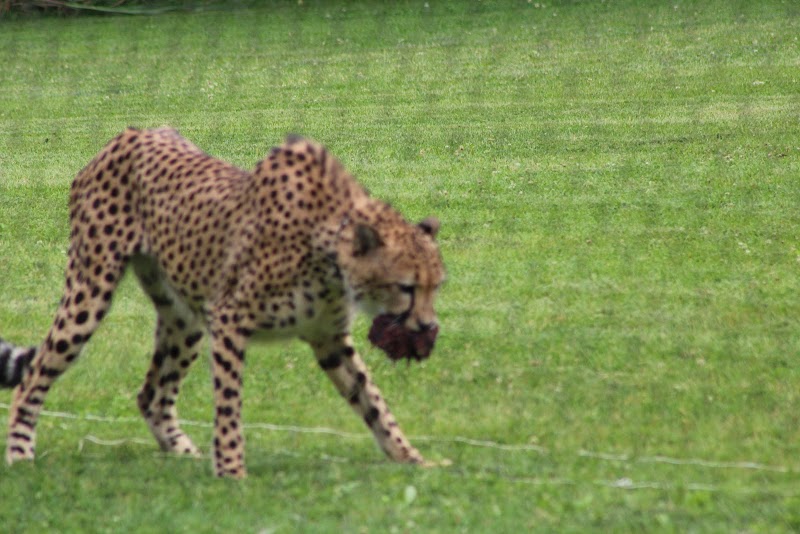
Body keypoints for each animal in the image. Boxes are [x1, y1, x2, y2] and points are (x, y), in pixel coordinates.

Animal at [0, 128, 444, 478]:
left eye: (436, 286)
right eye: (406, 287)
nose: (426, 327)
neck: (331, 252)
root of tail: (127, 134)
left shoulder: (329, 339)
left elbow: (373, 401)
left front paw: (413, 458)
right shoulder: (230, 320)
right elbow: (229, 405)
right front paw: (232, 471)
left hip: (185, 318)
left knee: (151, 395)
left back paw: (185, 453)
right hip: (91, 291)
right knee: (32, 377)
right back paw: (20, 453)